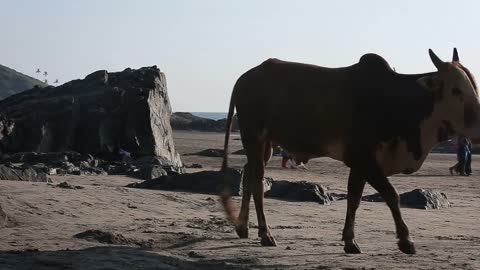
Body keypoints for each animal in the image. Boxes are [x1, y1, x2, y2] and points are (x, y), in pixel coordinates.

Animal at [219, 49, 478, 255]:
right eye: (456, 90)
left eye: (474, 85)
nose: (478, 123)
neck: (395, 100)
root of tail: (243, 79)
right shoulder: (364, 159)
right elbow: (391, 195)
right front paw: (406, 241)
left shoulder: (361, 164)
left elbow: (354, 198)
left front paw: (349, 241)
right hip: (254, 136)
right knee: (257, 180)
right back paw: (265, 234)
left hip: (265, 145)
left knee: (249, 172)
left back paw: (242, 227)